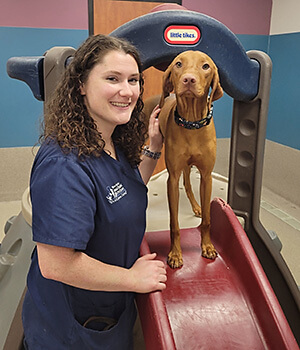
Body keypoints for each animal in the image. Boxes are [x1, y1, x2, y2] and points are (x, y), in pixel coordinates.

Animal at [144, 50, 224, 268]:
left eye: (205, 66)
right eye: (178, 64)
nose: (189, 79)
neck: (191, 122)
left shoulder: (206, 176)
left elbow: (207, 220)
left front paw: (207, 246)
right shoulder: (172, 179)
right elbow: (174, 223)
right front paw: (175, 254)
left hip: (189, 167)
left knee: (188, 184)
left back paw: (196, 206)